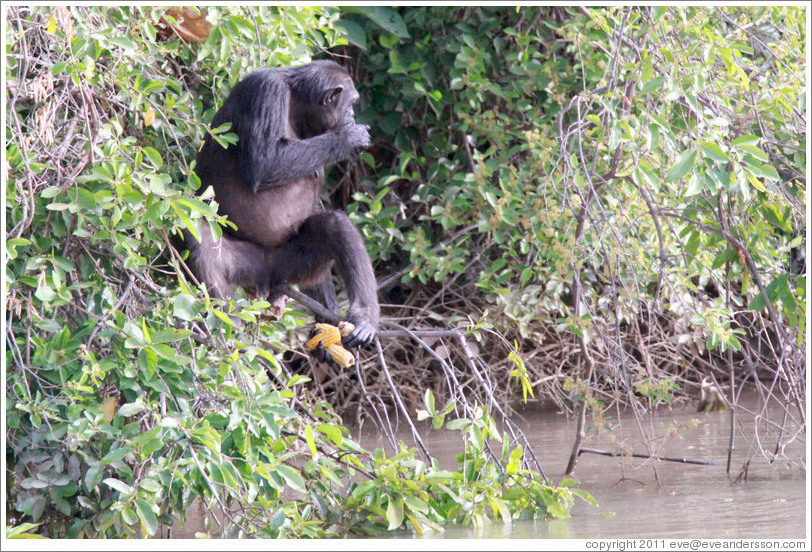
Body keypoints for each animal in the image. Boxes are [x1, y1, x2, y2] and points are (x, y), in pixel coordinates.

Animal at [186, 59, 382, 344]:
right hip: (245, 263)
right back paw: (228, 322)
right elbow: (265, 163)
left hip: (292, 264)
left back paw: (359, 318)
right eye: (352, 103)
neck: (296, 107)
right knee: (201, 239)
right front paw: (349, 137)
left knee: (335, 227)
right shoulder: (266, 91)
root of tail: (266, 278)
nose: (354, 116)